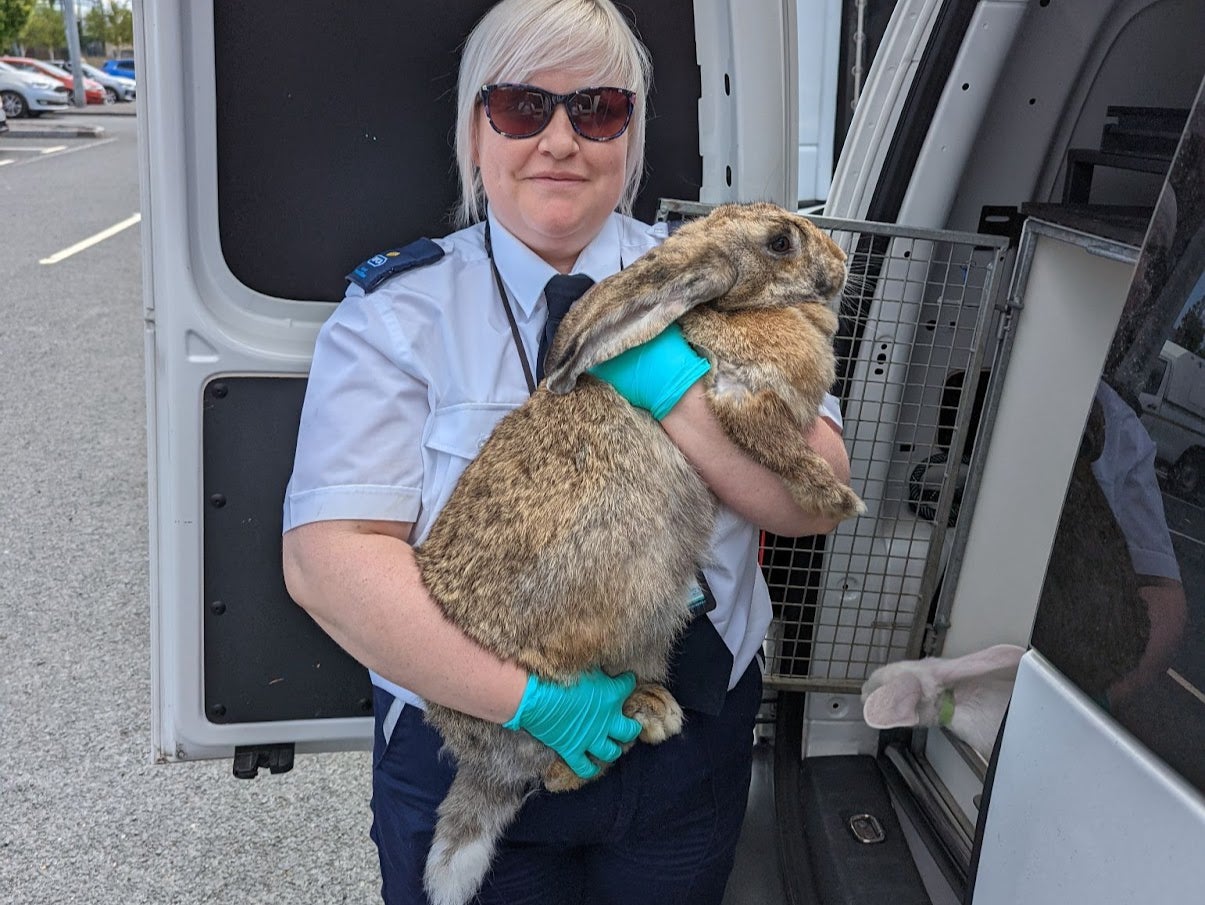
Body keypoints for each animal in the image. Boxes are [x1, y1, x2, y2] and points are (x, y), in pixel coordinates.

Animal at [414, 203, 867, 905]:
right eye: (780, 242)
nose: (843, 262)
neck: (732, 309)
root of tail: (477, 757)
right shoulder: (743, 396)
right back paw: (638, 717)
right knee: (558, 776)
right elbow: (780, 447)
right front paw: (841, 499)